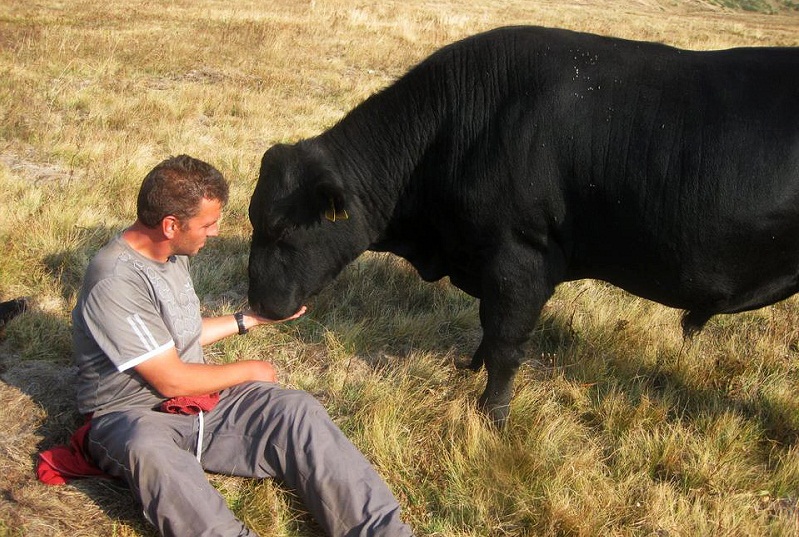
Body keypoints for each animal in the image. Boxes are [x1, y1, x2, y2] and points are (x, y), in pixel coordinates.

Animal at [248, 25, 799, 426]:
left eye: (281, 228)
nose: (257, 303)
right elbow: (488, 329)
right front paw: (467, 370)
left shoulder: (520, 258)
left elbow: (506, 343)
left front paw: (493, 417)